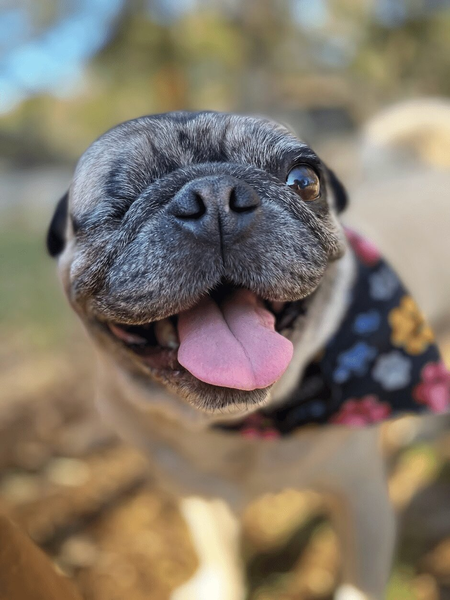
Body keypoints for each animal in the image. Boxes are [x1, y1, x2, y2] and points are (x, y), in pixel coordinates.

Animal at [48, 111, 446, 600]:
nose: (214, 195)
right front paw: (220, 585)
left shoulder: (361, 497)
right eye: (116, 206)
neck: (252, 425)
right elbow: (220, 552)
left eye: (304, 181)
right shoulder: (199, 495)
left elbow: (358, 585)